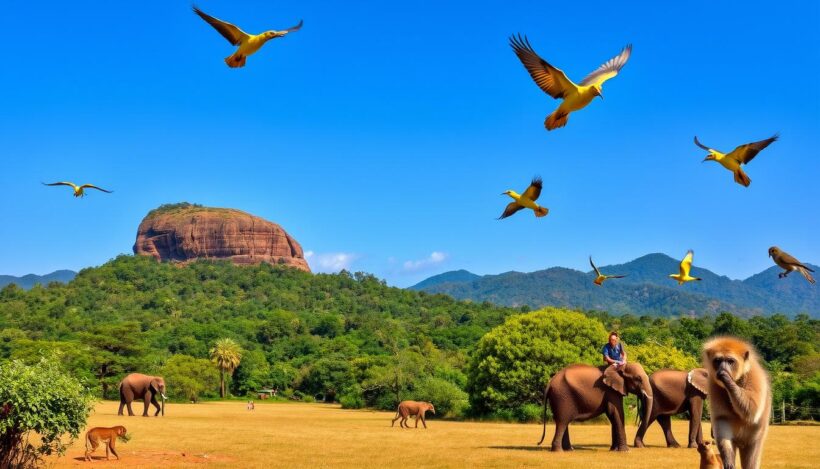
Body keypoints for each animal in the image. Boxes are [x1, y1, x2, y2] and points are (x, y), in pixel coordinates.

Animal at [700, 336, 772, 468]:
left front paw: (727, 378)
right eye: (718, 360)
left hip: (755, 439)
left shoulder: (754, 375)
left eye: (730, 361)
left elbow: (752, 409)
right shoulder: (713, 383)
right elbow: (722, 417)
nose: (722, 368)